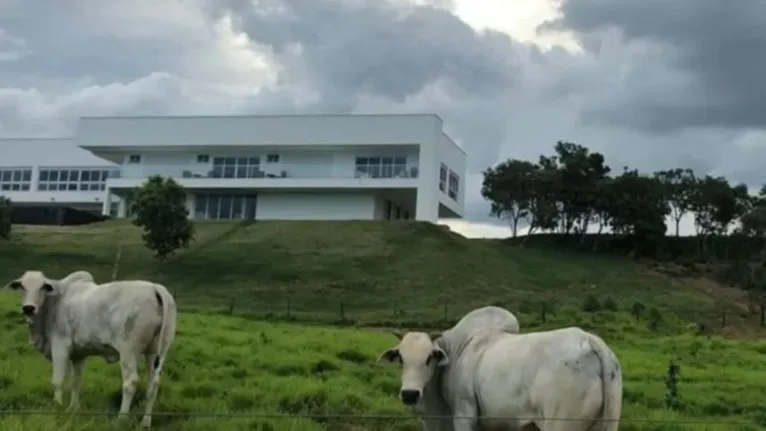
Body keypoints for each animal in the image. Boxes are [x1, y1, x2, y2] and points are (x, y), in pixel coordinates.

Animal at [4, 270, 178, 428]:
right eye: (22, 287)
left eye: (43, 287)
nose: (28, 308)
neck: (56, 301)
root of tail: (154, 287)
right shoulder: (79, 355)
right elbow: (76, 381)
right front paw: (73, 408)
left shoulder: (60, 347)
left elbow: (58, 381)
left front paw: (57, 407)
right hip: (157, 352)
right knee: (153, 384)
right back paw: (145, 422)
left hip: (128, 351)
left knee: (130, 382)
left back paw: (121, 419)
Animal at [378, 306, 624, 431]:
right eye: (401, 358)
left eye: (429, 357)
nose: (410, 394)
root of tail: (591, 342)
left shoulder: (464, 415)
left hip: (560, 425)